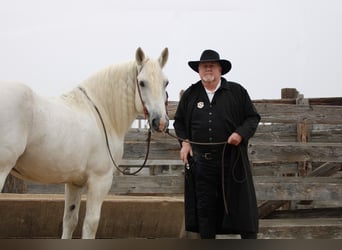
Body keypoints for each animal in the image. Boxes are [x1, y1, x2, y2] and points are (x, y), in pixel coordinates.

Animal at [0, 47, 170, 238]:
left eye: (166, 83)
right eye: (142, 82)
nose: (160, 122)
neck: (101, 114)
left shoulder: (74, 183)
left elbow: (70, 221)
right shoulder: (99, 180)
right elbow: (91, 223)